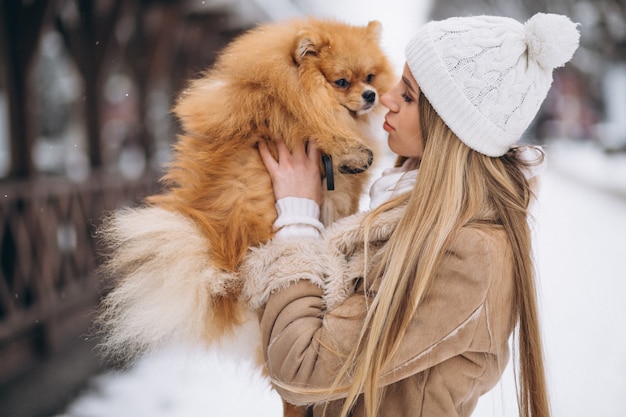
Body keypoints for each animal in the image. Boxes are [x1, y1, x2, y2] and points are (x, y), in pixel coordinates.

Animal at [95, 15, 392, 412]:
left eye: (370, 77)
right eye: (342, 81)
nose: (370, 95)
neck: (294, 88)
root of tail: (220, 257)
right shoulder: (282, 113)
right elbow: (321, 129)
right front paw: (351, 150)